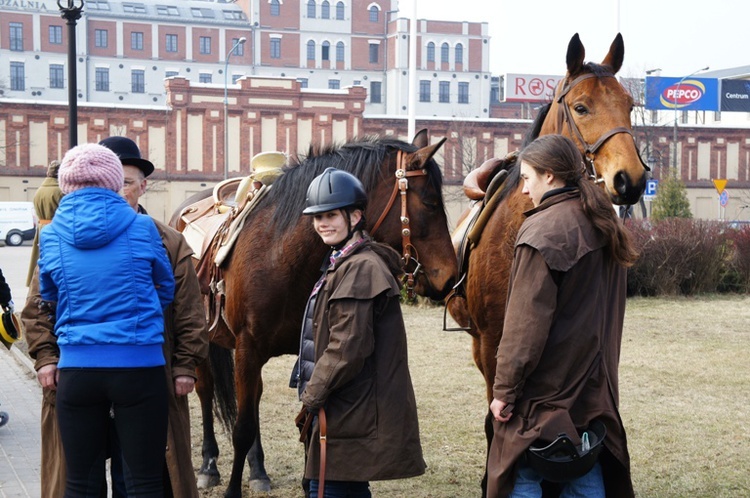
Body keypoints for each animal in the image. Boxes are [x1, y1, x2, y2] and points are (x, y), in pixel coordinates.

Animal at [175, 131, 458, 498]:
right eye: (431, 203)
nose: (450, 276)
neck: (279, 251)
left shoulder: (307, 346)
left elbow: (307, 417)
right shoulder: (247, 349)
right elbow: (243, 427)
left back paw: (258, 469)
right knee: (206, 391)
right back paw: (208, 466)